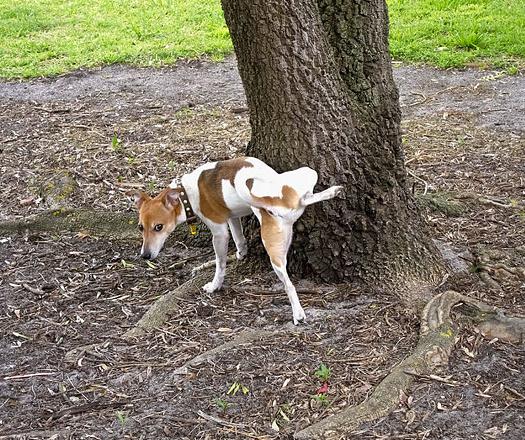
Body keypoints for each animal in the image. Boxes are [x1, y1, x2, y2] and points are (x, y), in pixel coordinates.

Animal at [133, 156, 342, 324]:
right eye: (140, 227)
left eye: (158, 227)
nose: (145, 255)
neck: (186, 193)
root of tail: (276, 202)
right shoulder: (233, 217)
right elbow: (239, 238)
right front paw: (241, 253)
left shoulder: (219, 232)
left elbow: (220, 263)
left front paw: (215, 285)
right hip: (306, 174)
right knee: (306, 198)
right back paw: (332, 191)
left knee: (289, 285)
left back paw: (297, 315)